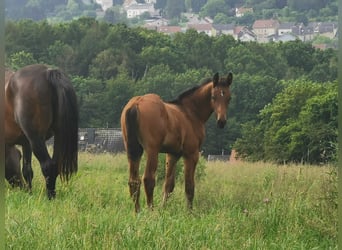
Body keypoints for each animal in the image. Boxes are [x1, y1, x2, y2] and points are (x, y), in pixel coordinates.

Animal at [5, 64, 79, 199]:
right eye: (18, 155)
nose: (21, 187)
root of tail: (48, 72)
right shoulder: (26, 143)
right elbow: (27, 170)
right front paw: (29, 194)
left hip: (36, 139)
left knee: (47, 165)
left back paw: (50, 197)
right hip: (57, 136)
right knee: (55, 165)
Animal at [120, 71, 232, 212]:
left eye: (229, 98)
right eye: (213, 97)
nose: (221, 122)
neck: (190, 113)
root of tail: (136, 103)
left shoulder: (173, 154)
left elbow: (168, 185)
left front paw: (163, 209)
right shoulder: (191, 154)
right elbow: (189, 186)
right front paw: (189, 212)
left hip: (133, 149)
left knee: (134, 181)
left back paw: (138, 212)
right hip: (152, 150)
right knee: (148, 179)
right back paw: (151, 211)